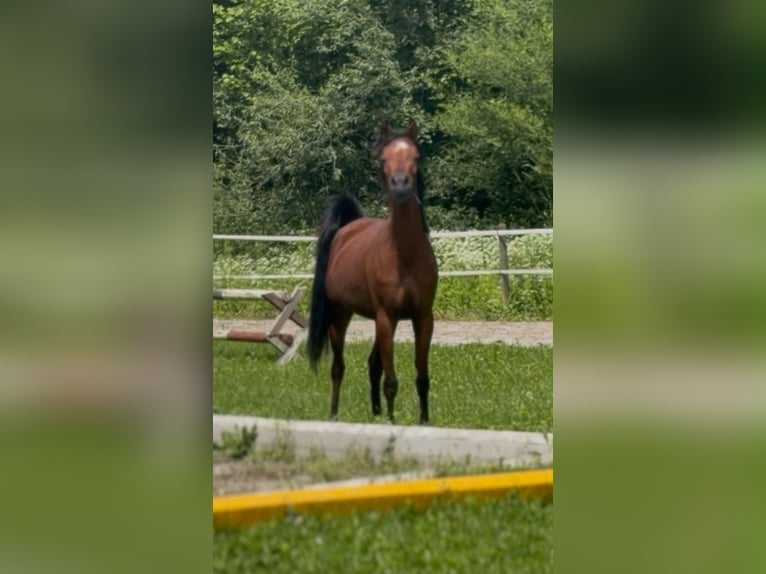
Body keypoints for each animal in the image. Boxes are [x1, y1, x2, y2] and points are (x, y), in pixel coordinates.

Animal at [306, 122, 438, 424]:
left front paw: (424, 422)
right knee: (338, 368)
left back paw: (375, 413)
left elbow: (422, 377)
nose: (400, 184)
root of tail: (349, 226)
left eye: (416, 156)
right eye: (383, 159)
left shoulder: (423, 318)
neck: (405, 255)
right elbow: (391, 381)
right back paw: (334, 415)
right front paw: (392, 423)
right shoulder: (386, 317)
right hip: (340, 317)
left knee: (373, 365)